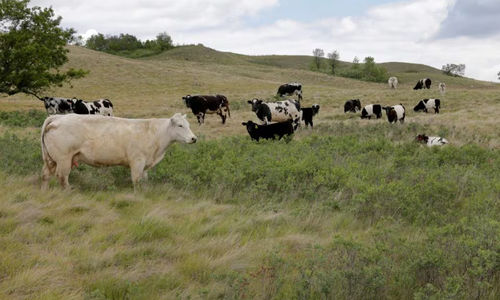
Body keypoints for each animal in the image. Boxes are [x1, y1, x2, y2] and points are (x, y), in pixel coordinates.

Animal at [40, 112, 196, 190]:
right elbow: (136, 181)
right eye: (180, 125)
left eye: (189, 125)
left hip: (51, 159)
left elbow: (144, 181)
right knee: (62, 177)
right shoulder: (137, 161)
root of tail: (58, 116)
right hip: (63, 158)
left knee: (46, 175)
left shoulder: (145, 165)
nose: (194, 138)